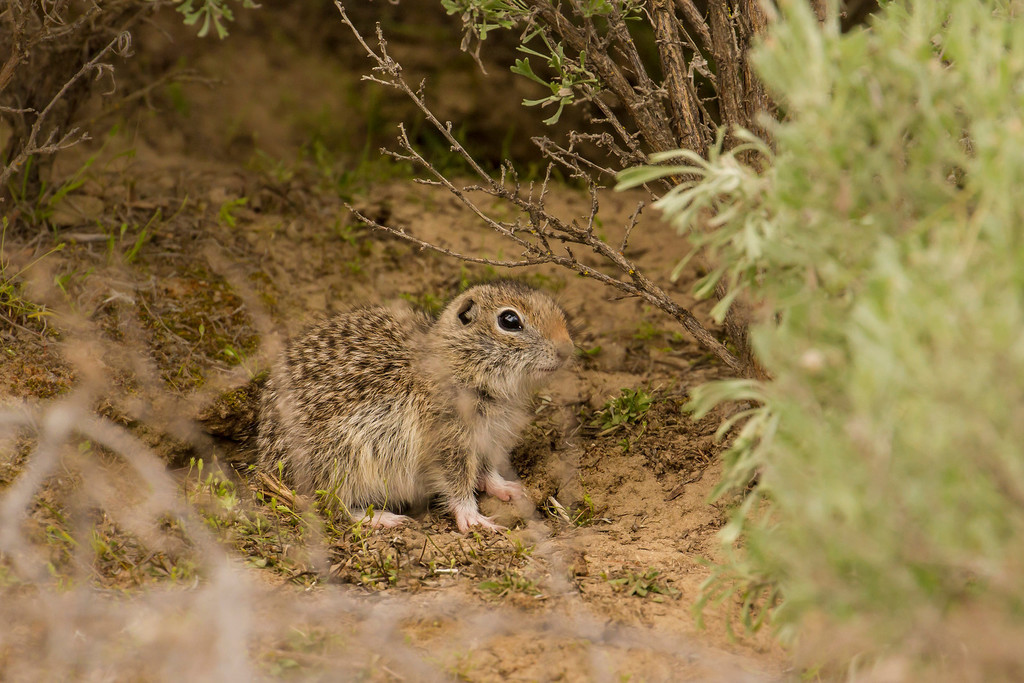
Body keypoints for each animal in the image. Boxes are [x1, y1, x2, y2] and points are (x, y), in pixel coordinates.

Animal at [256, 282, 577, 532]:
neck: (459, 365)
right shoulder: (448, 442)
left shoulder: (486, 439)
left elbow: (486, 472)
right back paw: (382, 518)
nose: (567, 350)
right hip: (342, 461)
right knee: (332, 505)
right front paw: (473, 519)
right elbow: (458, 483)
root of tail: (267, 467)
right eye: (510, 321)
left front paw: (509, 489)